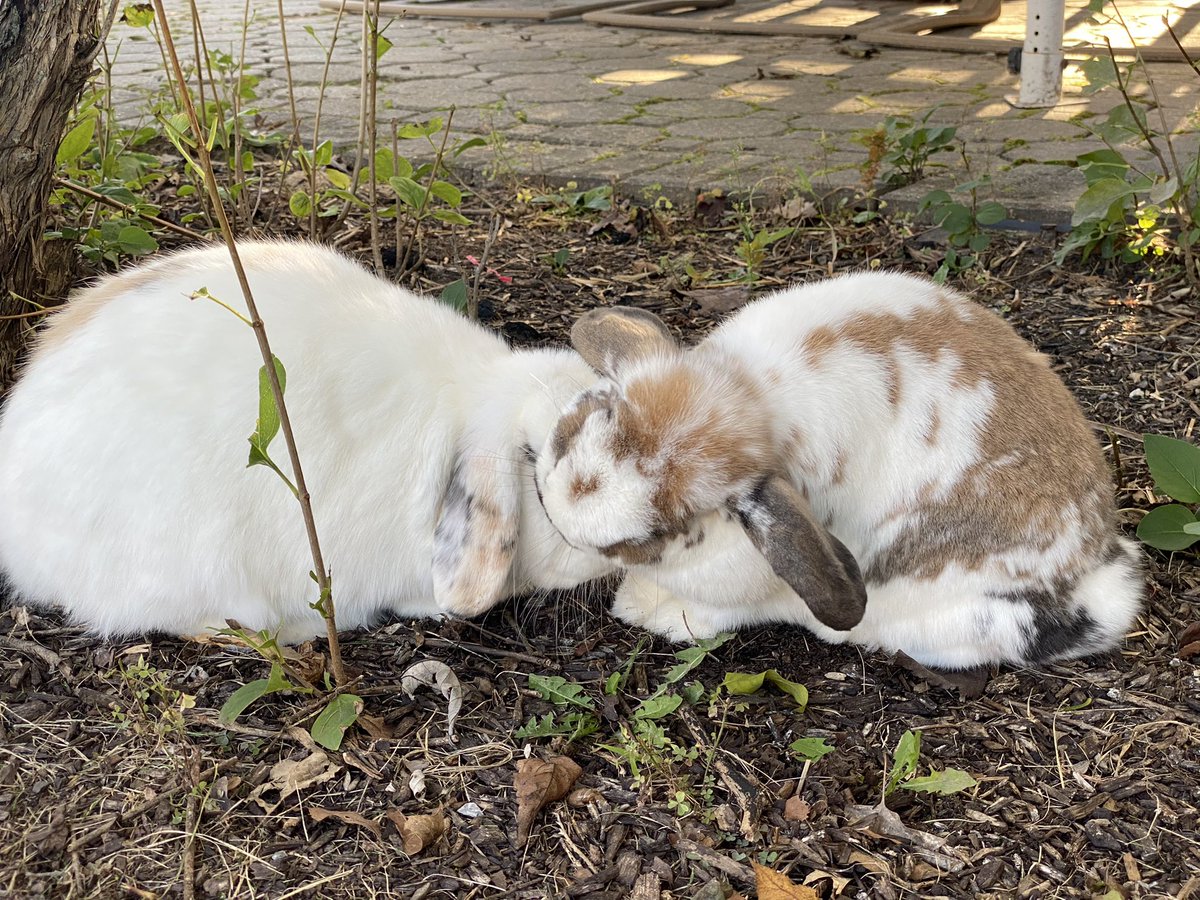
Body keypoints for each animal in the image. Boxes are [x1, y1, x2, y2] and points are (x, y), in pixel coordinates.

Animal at [535, 271, 1142, 672]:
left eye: (661, 529)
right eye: (595, 414)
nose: (559, 515)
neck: (751, 397)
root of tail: (1097, 573)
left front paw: (645, 609)